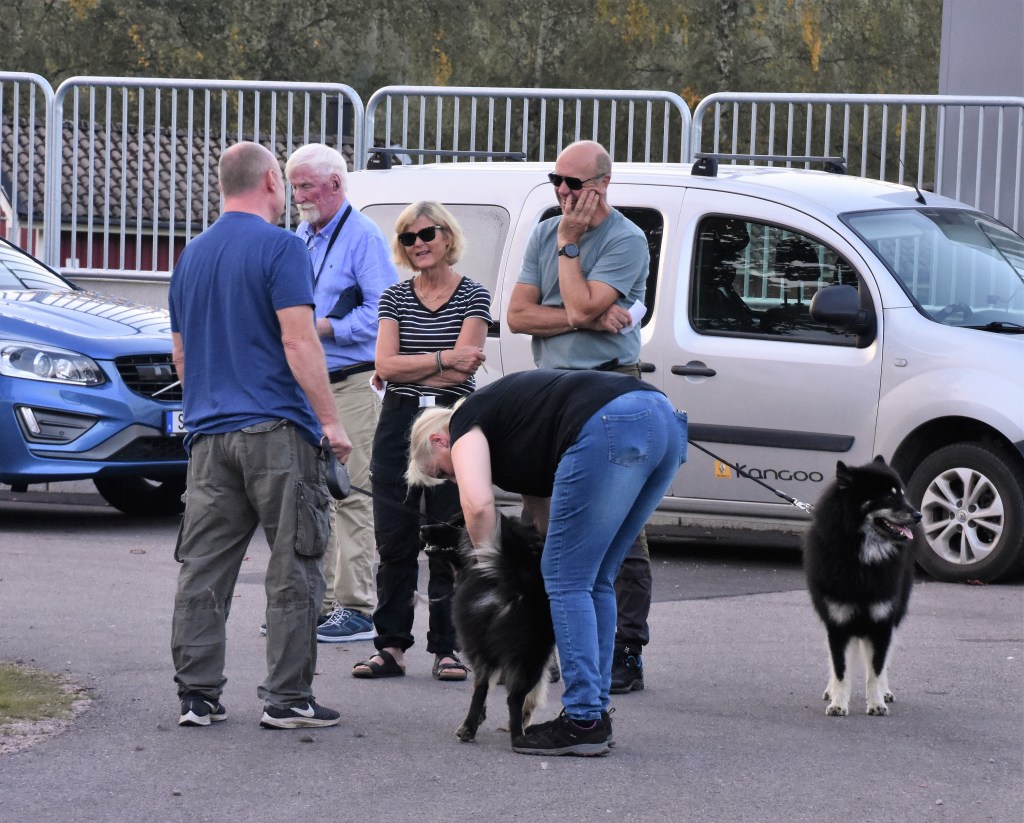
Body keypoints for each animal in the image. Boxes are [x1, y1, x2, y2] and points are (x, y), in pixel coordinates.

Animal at [422, 512, 555, 744]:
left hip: (484, 645)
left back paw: (468, 728)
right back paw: (518, 736)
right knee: (514, 698)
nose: (423, 528)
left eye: (458, 524)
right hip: (532, 652)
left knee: (481, 688)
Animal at [803, 456, 919, 716]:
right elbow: (840, 668)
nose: (918, 515)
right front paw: (838, 703)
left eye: (902, 494)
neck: (863, 558)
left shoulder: (881, 621)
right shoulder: (837, 622)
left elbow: (875, 669)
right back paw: (831, 691)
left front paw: (876, 703)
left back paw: (885, 693)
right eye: (888, 497)